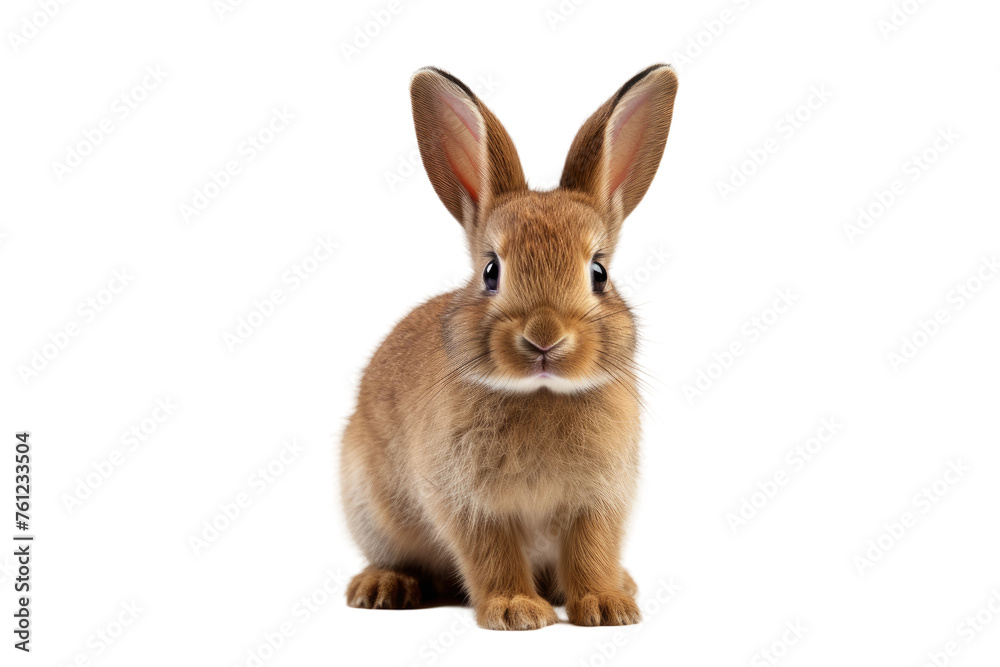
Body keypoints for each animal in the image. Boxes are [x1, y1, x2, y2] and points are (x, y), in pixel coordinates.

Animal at [340, 64, 678, 630]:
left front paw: (606, 606)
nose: (544, 337)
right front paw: (516, 610)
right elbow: (491, 554)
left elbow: (591, 551)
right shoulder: (469, 503)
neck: (541, 393)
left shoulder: (599, 501)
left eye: (599, 274)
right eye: (491, 272)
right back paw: (382, 586)